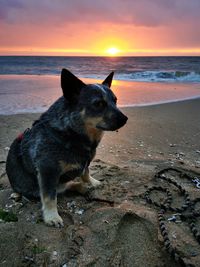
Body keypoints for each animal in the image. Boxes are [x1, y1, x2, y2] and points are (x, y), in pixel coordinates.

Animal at [6, 68, 128, 226]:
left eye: (115, 101)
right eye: (99, 104)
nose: (125, 119)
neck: (73, 134)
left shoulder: (85, 161)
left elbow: (86, 171)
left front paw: (91, 182)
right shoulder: (48, 170)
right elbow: (49, 196)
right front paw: (52, 216)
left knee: (65, 186)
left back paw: (82, 187)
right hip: (33, 189)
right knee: (57, 190)